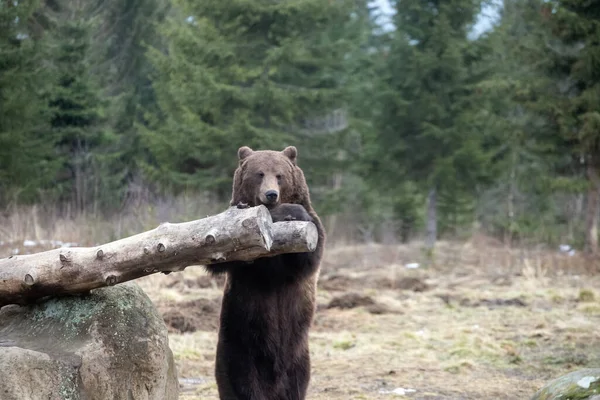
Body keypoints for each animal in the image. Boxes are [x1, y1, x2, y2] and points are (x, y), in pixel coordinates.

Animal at [207, 146, 328, 400]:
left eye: (279, 175)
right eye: (259, 173)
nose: (271, 194)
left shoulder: (313, 229)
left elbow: (308, 257)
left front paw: (291, 213)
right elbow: (223, 256)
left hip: (298, 353)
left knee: (297, 381)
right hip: (238, 340)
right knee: (239, 379)